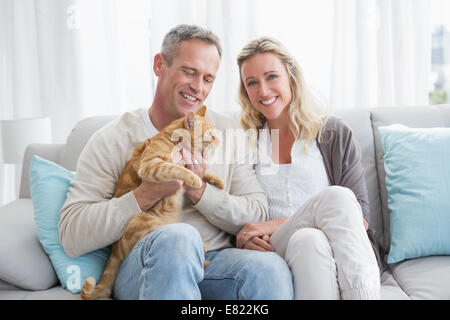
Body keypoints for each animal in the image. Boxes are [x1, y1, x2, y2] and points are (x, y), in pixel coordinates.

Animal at [80, 107, 223, 300]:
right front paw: (193, 178)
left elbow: (203, 173)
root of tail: (114, 250)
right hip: (151, 223)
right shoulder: (152, 165)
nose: (220, 141)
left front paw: (216, 181)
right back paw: (202, 245)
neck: (172, 138)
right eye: (211, 135)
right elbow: (178, 168)